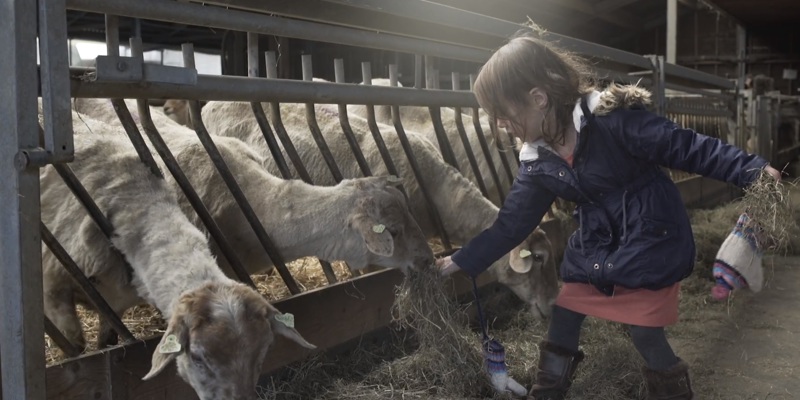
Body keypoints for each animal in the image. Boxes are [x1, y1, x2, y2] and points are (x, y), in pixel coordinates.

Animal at [40, 110, 314, 400]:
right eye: (197, 357)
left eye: (264, 352)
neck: (134, 199)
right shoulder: (52, 289)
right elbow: (76, 349)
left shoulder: (115, 305)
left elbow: (107, 340)